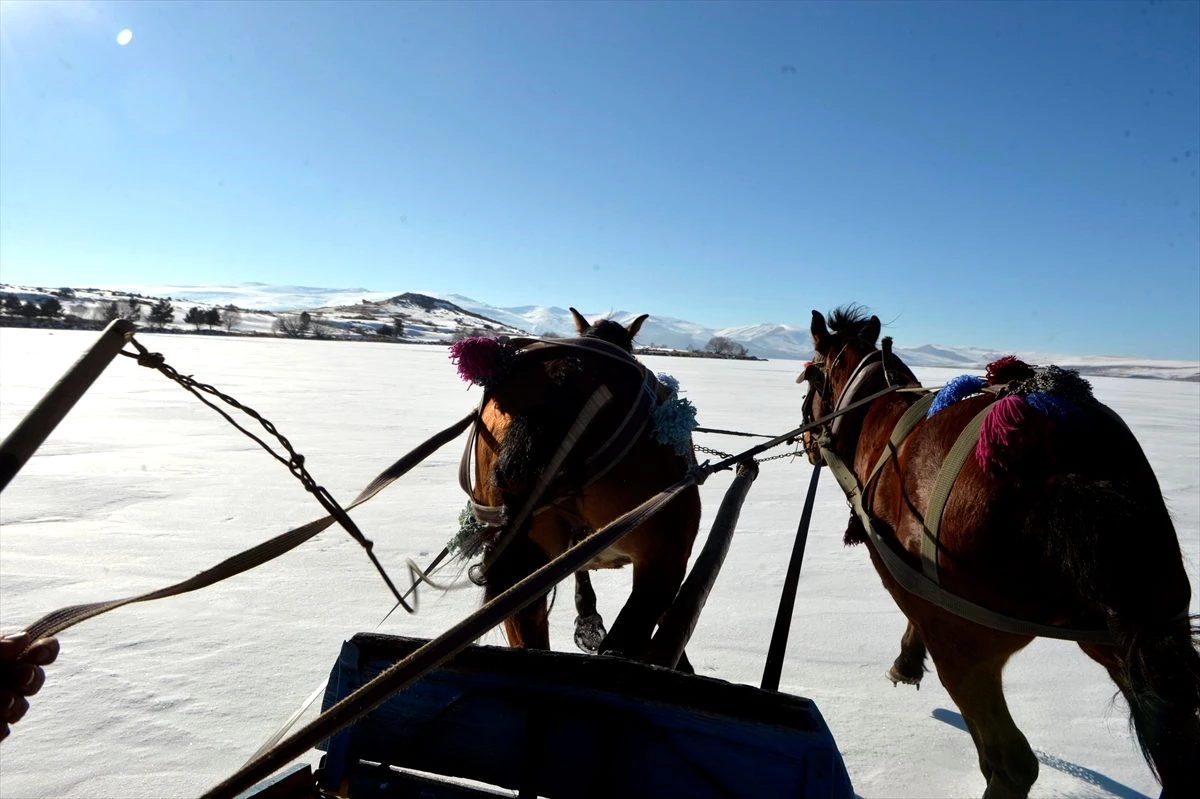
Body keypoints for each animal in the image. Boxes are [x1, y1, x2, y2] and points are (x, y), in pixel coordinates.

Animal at [801, 303, 1195, 796]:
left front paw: (906, 663)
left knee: (1011, 762)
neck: (873, 413)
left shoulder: (902, 575)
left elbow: (913, 613)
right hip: (1137, 630)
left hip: (968, 645)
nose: (806, 438)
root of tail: (1064, 466)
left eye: (809, 375)